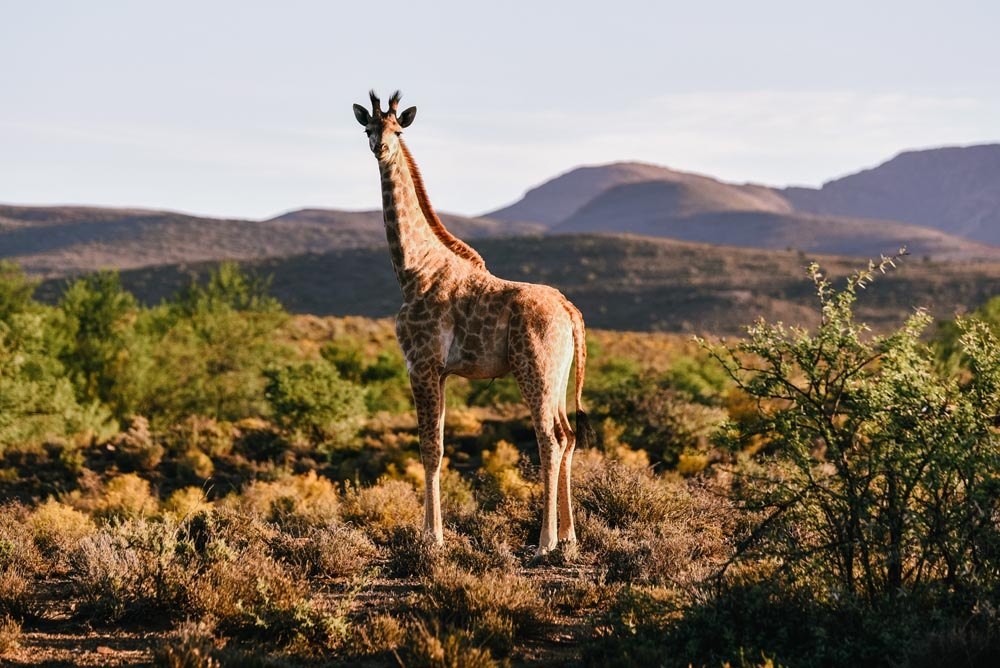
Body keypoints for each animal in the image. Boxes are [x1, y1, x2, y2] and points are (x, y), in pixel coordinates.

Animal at [352, 91, 588, 556]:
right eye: (369, 127)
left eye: (398, 130)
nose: (381, 149)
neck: (412, 269)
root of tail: (571, 312)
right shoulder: (441, 372)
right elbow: (438, 446)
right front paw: (434, 533)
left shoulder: (421, 364)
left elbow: (429, 447)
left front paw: (432, 538)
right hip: (558, 375)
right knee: (568, 435)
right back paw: (569, 537)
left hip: (533, 369)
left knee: (549, 440)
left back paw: (544, 542)